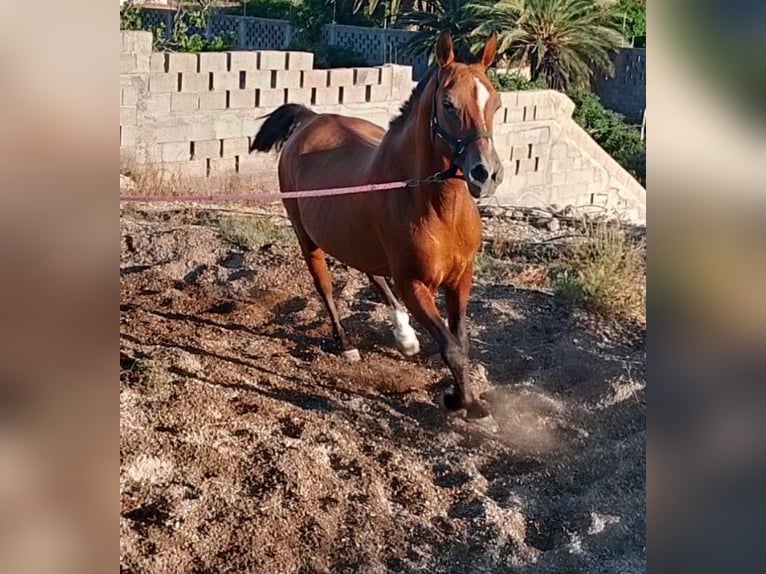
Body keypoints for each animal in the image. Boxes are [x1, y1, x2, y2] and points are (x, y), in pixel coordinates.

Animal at [250, 32, 504, 425]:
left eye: (496, 101)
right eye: (448, 104)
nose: (486, 173)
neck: (438, 208)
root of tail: (310, 120)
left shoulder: (461, 277)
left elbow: (460, 341)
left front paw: (469, 400)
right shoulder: (413, 284)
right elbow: (450, 347)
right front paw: (460, 402)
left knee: (372, 273)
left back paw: (404, 336)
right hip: (307, 237)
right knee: (325, 285)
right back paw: (346, 344)